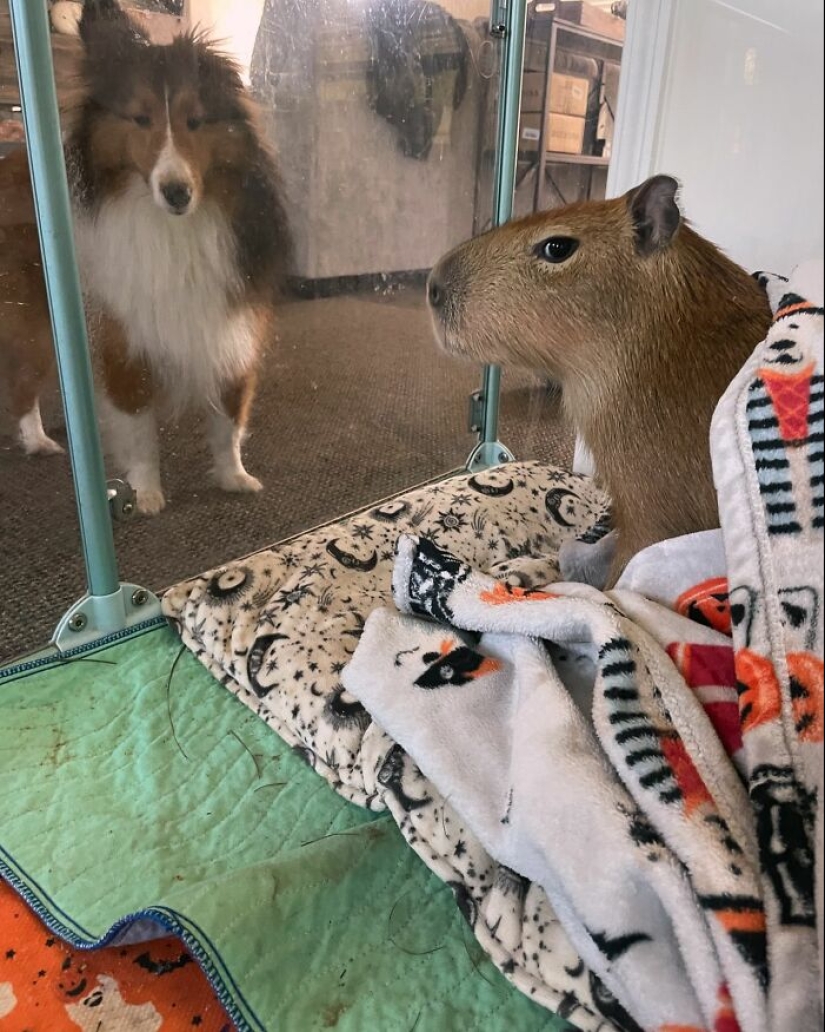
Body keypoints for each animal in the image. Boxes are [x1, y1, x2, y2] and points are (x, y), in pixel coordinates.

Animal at [0, 0, 291, 516]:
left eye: (196, 121)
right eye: (139, 119)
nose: (176, 192)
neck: (174, 231)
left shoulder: (231, 327)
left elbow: (229, 415)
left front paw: (234, 476)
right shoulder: (124, 341)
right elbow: (138, 428)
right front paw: (148, 493)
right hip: (35, 322)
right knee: (21, 385)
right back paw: (37, 441)